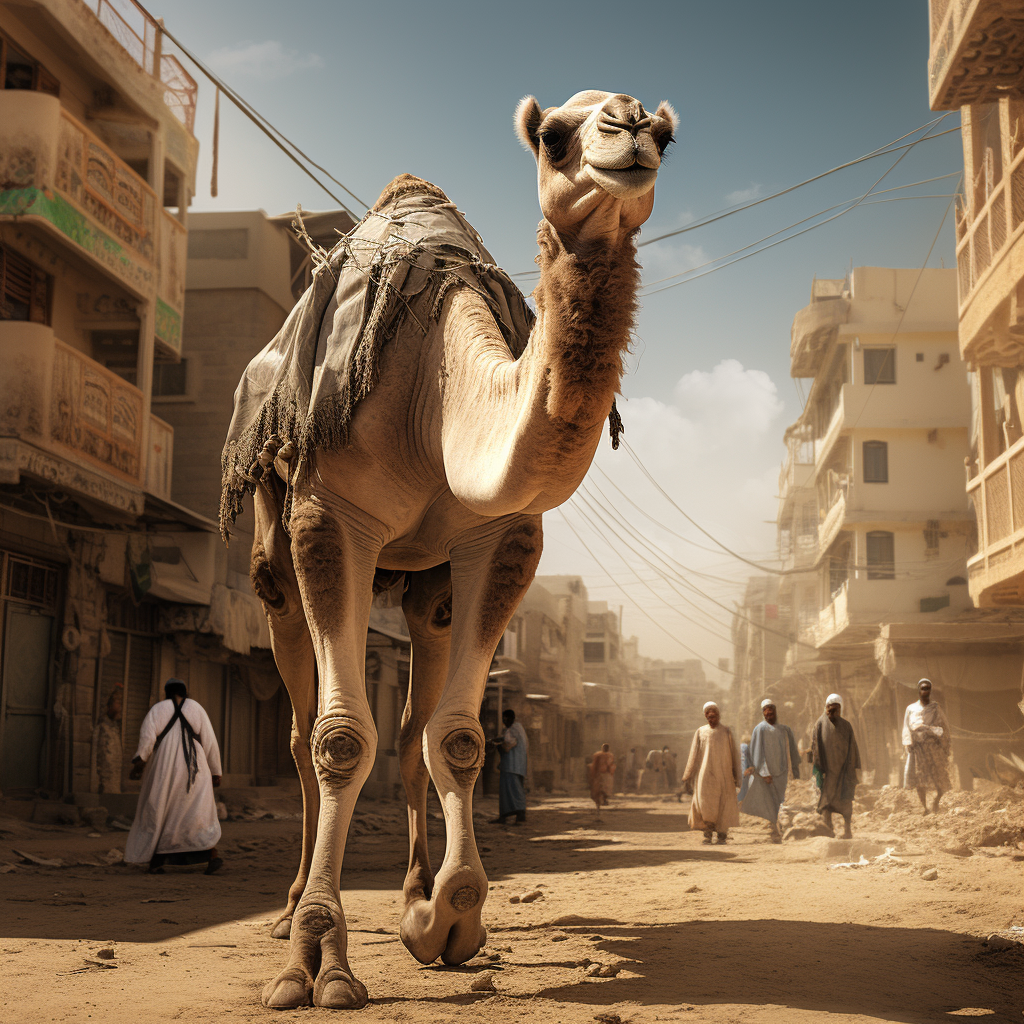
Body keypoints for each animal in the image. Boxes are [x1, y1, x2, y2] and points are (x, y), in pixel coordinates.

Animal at [222, 90, 671, 1007]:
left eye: (668, 133)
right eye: (554, 137)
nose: (631, 128)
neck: (435, 393)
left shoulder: (501, 538)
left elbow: (459, 738)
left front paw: (442, 920)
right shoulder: (331, 517)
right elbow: (338, 740)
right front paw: (317, 966)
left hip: (425, 588)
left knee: (410, 732)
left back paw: (406, 891)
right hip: (277, 552)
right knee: (298, 730)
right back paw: (290, 910)